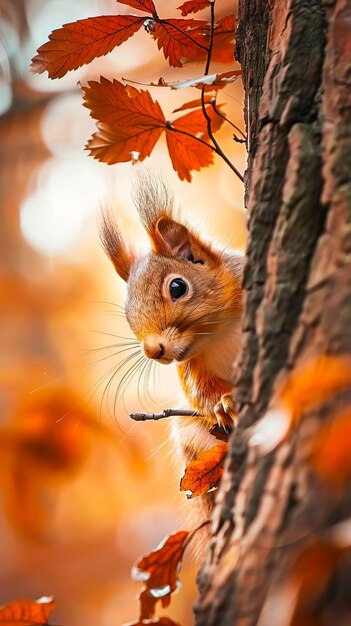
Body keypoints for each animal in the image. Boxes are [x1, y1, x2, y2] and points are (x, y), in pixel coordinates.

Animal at [102, 177, 245, 516]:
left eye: (177, 287)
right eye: (127, 313)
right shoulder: (192, 368)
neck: (219, 332)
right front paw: (224, 403)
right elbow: (202, 393)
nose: (153, 350)